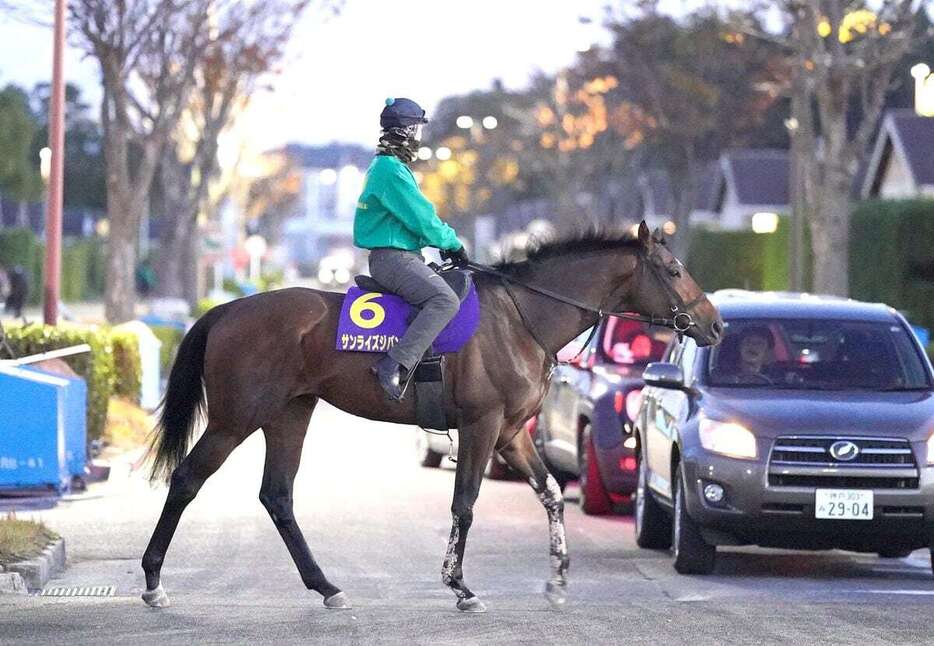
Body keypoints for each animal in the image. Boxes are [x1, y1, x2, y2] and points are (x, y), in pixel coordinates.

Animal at [139, 223, 724, 612]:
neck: (519, 318)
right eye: (674, 270)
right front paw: (459, 585)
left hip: (289, 414)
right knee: (187, 479)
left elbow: (553, 494)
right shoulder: (481, 427)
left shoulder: (511, 434)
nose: (715, 325)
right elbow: (464, 503)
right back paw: (152, 582)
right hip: (235, 419)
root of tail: (226, 309)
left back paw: (326, 586)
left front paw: (558, 579)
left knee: (277, 496)